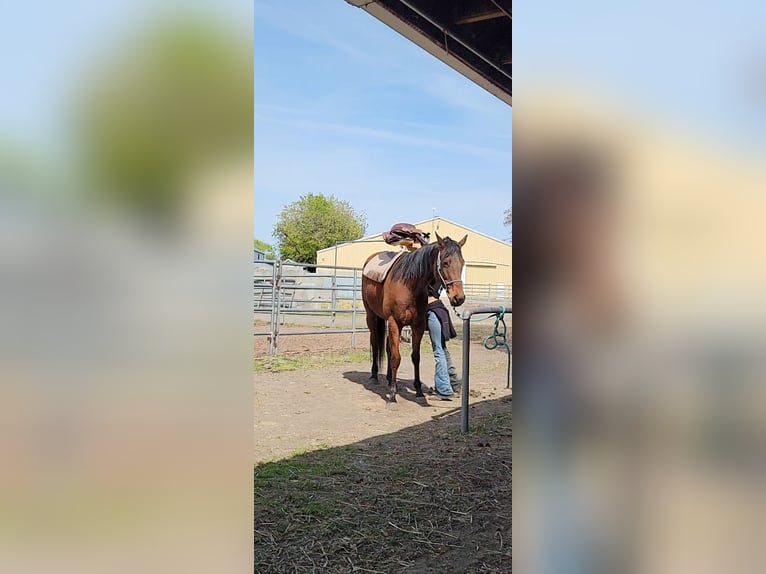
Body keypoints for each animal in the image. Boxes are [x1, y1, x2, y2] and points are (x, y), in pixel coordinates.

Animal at [364, 234, 468, 404]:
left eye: (463, 263)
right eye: (445, 263)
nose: (458, 298)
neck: (409, 285)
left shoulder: (417, 325)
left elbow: (415, 357)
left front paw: (418, 390)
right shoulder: (395, 322)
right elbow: (396, 357)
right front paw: (392, 396)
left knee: (387, 346)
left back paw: (389, 378)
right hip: (372, 316)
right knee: (375, 342)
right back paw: (374, 376)